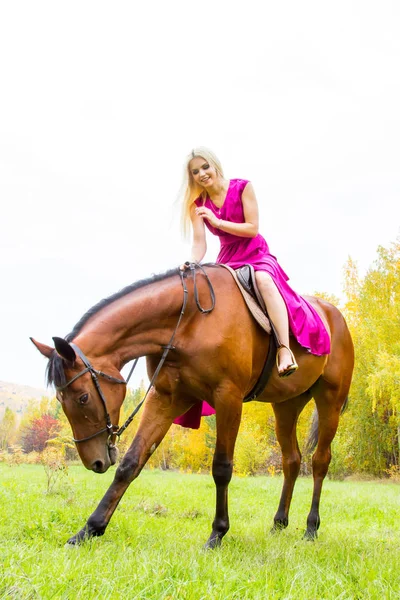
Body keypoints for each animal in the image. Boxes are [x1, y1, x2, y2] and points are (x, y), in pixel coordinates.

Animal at [32, 264, 354, 548]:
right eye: (60, 400)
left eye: (82, 397)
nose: (94, 462)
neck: (188, 321)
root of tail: (335, 315)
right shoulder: (166, 398)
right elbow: (130, 463)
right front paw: (90, 529)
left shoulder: (228, 398)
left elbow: (222, 468)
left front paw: (218, 533)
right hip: (285, 406)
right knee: (292, 461)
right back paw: (279, 523)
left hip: (330, 401)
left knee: (320, 461)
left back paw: (311, 527)